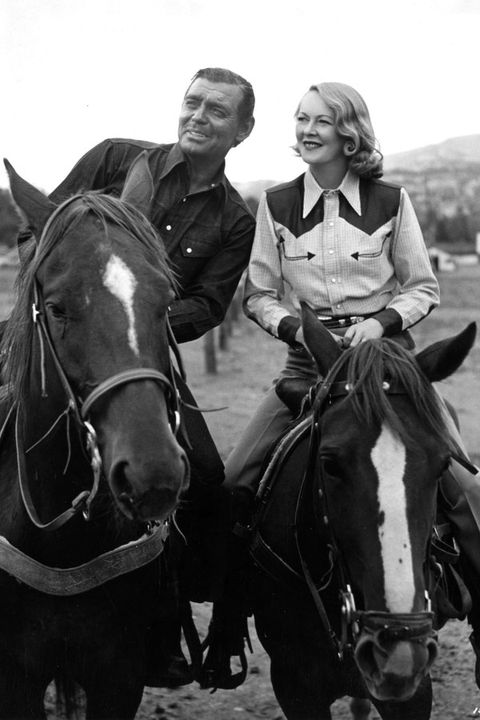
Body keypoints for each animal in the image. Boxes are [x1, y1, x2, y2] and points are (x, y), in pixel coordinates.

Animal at [0, 158, 191, 720]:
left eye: (165, 303)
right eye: (57, 308)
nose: (153, 473)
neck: (61, 543)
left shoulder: (118, 675)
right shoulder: (15, 678)